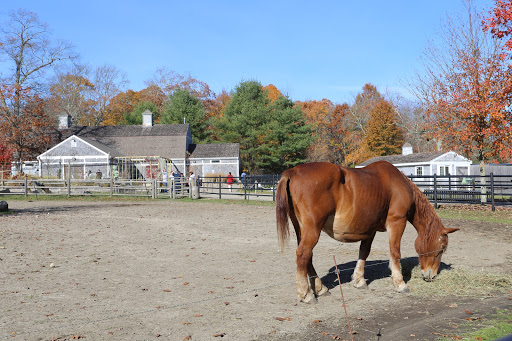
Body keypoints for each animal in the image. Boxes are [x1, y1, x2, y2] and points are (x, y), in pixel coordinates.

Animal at [276, 161, 460, 302]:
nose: (431, 275)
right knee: (303, 254)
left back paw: (320, 288)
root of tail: (293, 171)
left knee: (307, 257)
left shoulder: (369, 230)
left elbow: (364, 252)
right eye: (442, 248)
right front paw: (400, 283)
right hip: (313, 229)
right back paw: (306, 294)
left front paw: (359, 280)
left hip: (301, 228)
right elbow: (395, 252)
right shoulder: (397, 222)